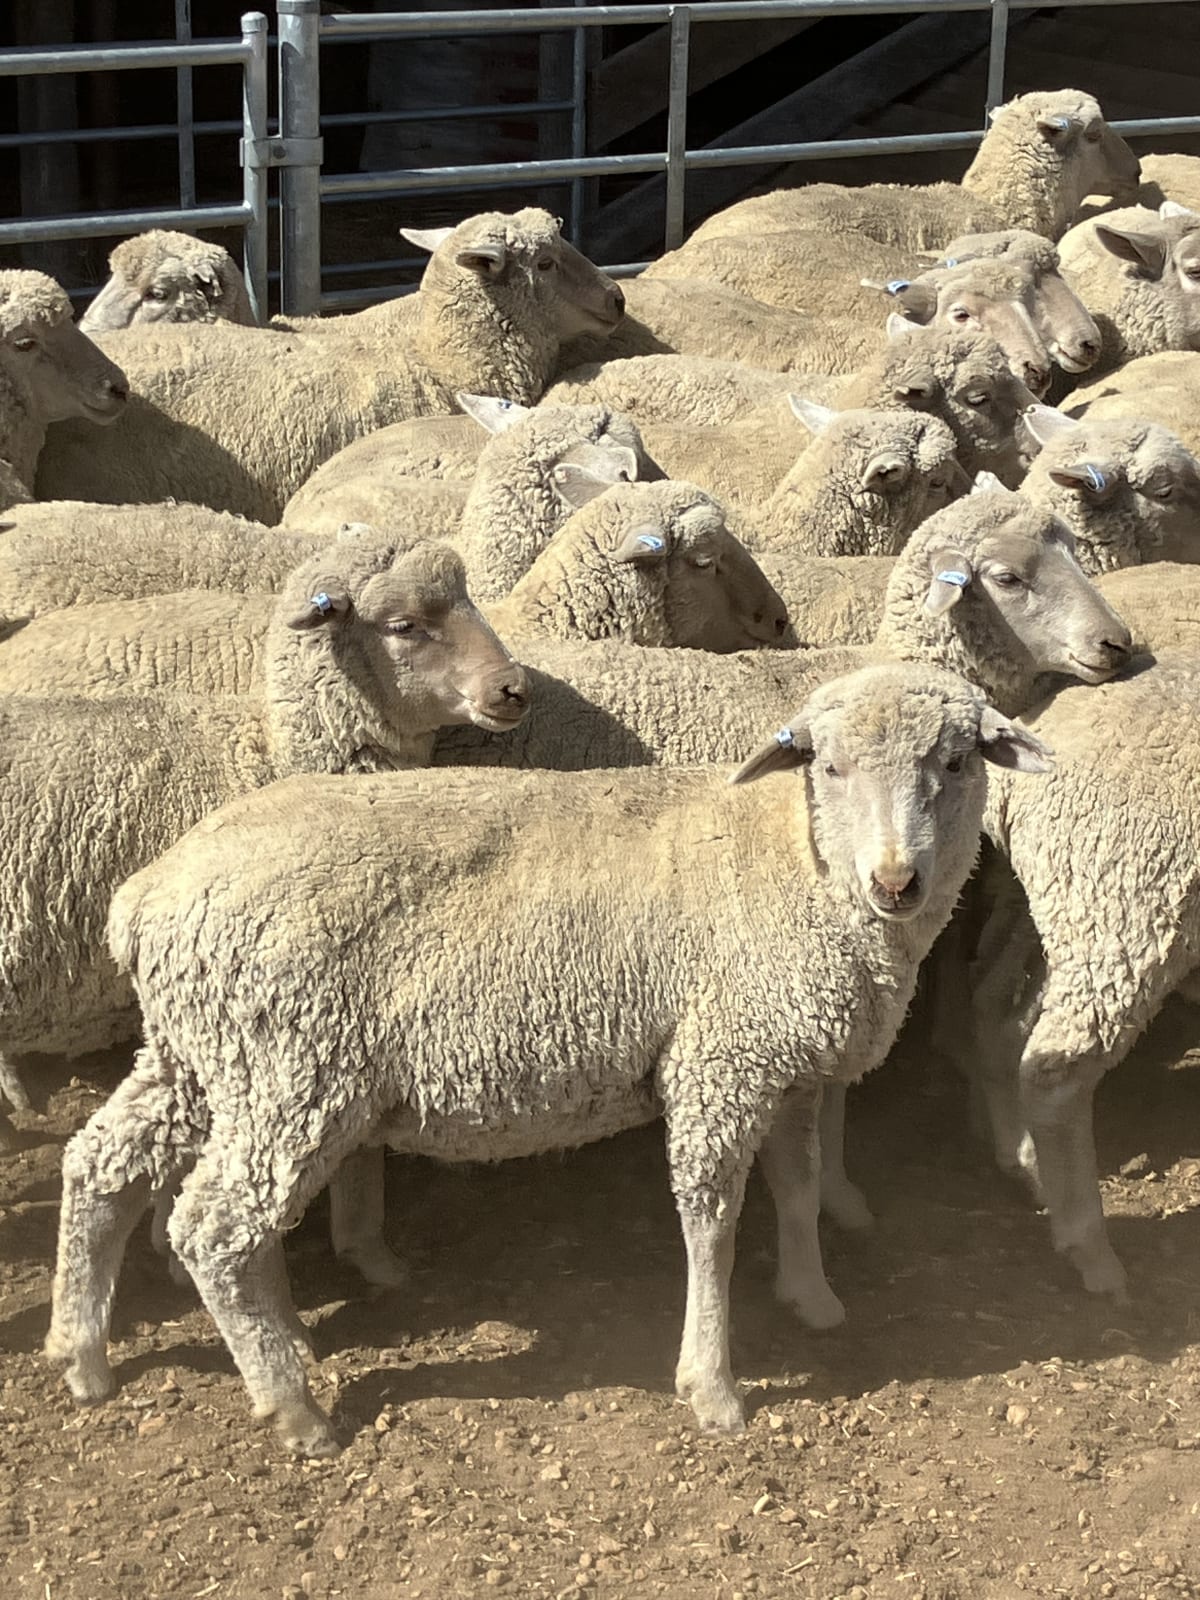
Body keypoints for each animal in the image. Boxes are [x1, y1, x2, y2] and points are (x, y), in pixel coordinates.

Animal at [45, 661, 1051, 1452]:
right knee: (213, 1226)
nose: (897, 881)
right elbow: (714, 1227)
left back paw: (85, 1352)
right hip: (289, 1068)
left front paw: (812, 1296)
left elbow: (798, 1188)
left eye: (955, 762)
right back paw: (291, 1404)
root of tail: (147, 895)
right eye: (830, 768)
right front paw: (713, 1385)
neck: (794, 861)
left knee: (101, 1163)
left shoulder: (787, 1063)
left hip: (201, 1056)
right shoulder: (719, 1064)